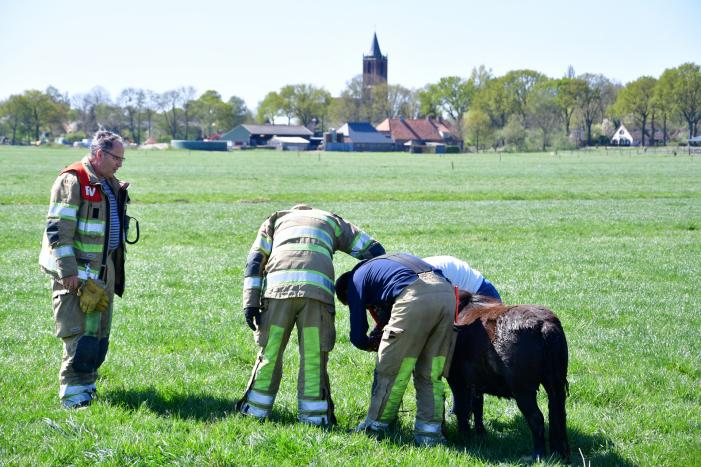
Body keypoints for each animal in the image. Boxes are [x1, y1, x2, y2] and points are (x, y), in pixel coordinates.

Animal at [447, 291, 570, 461]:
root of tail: (545, 326)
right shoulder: (476, 383)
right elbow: (477, 407)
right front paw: (479, 433)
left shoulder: (457, 381)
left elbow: (461, 409)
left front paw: (464, 436)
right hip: (556, 386)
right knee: (558, 414)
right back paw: (560, 452)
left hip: (523, 390)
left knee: (537, 418)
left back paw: (538, 455)